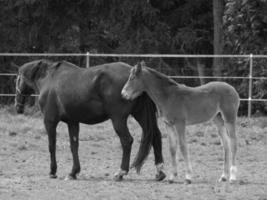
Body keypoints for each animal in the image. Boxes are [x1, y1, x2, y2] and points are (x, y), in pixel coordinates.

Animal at [14, 59, 166, 181]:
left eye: (17, 80)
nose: (18, 107)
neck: (49, 79)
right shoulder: (72, 122)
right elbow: (74, 146)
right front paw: (73, 172)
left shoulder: (50, 121)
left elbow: (52, 146)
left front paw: (53, 172)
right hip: (140, 114)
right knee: (156, 136)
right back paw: (159, 172)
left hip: (118, 119)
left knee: (127, 141)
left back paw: (121, 172)